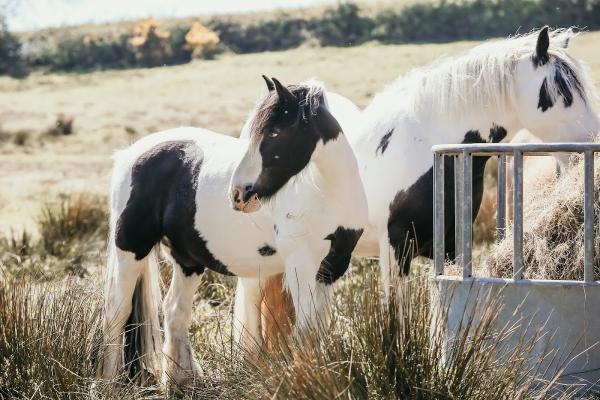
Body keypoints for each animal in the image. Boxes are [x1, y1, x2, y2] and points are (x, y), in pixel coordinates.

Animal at [96, 77, 366, 384]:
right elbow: (307, 328)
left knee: (175, 310)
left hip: (187, 260)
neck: (328, 192)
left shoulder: (333, 266)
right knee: (117, 311)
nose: (238, 194)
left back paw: (180, 382)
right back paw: (107, 384)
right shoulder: (301, 264)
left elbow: (317, 327)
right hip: (131, 249)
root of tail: (129, 155)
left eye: (274, 133)